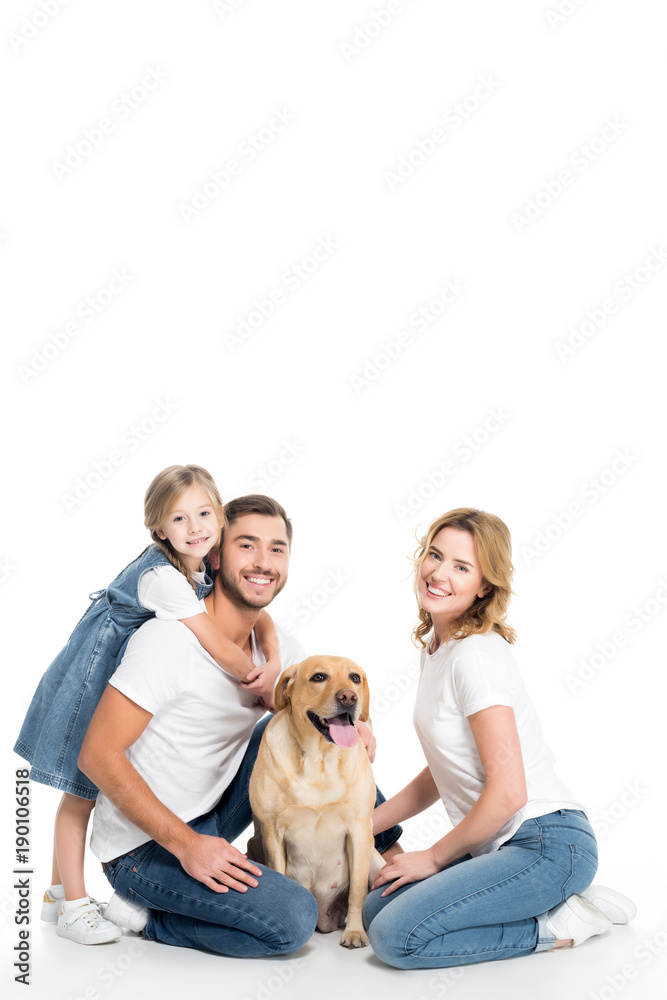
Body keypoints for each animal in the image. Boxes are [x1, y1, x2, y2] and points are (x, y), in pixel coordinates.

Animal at [249, 656, 386, 944]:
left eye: (355, 678)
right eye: (319, 677)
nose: (348, 697)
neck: (319, 760)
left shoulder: (359, 830)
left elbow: (357, 891)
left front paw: (354, 932)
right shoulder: (272, 831)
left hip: (375, 862)